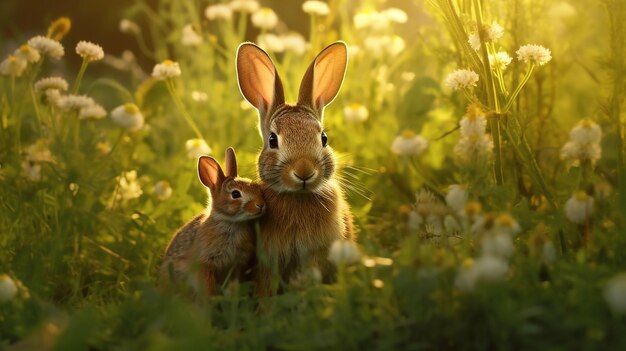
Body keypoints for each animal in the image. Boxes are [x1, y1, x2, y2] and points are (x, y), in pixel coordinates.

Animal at [158, 147, 264, 298]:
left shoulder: (237, 265)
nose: (261, 205)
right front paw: (212, 299)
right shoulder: (204, 264)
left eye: (256, 186)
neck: (230, 222)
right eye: (235, 194)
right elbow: (207, 286)